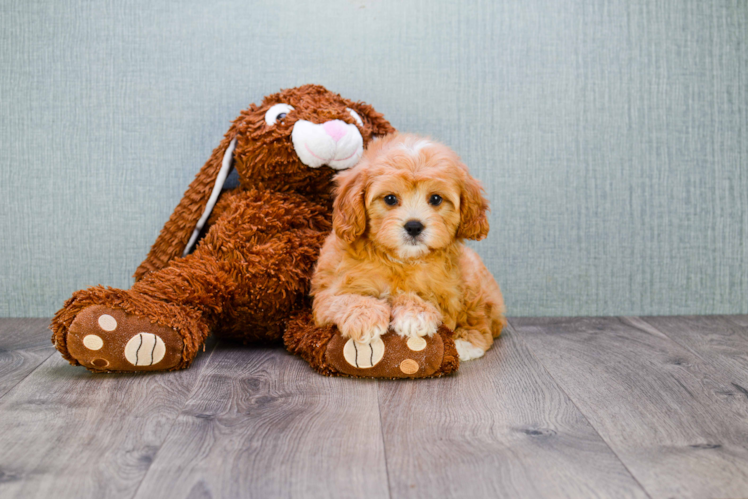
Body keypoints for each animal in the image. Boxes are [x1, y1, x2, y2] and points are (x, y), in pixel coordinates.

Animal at [306, 133, 506, 360]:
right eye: (390, 199)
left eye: (435, 199)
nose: (414, 226)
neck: (401, 260)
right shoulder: (327, 292)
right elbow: (344, 299)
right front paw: (365, 316)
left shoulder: (447, 295)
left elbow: (418, 297)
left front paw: (415, 314)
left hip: (474, 282)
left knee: (482, 321)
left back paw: (466, 342)